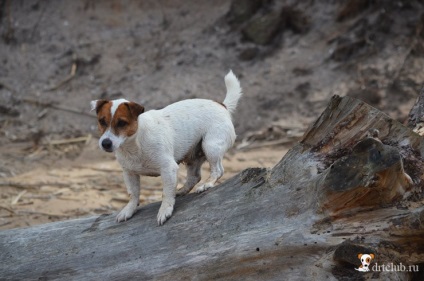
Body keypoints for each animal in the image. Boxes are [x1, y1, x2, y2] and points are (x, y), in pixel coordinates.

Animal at [90, 70, 242, 225]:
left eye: (121, 123)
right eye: (102, 121)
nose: (105, 143)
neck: (134, 144)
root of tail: (222, 105)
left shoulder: (168, 169)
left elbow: (166, 193)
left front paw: (165, 210)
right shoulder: (129, 173)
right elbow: (133, 194)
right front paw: (129, 210)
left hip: (210, 146)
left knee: (218, 170)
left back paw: (208, 184)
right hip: (193, 156)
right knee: (194, 177)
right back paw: (182, 190)